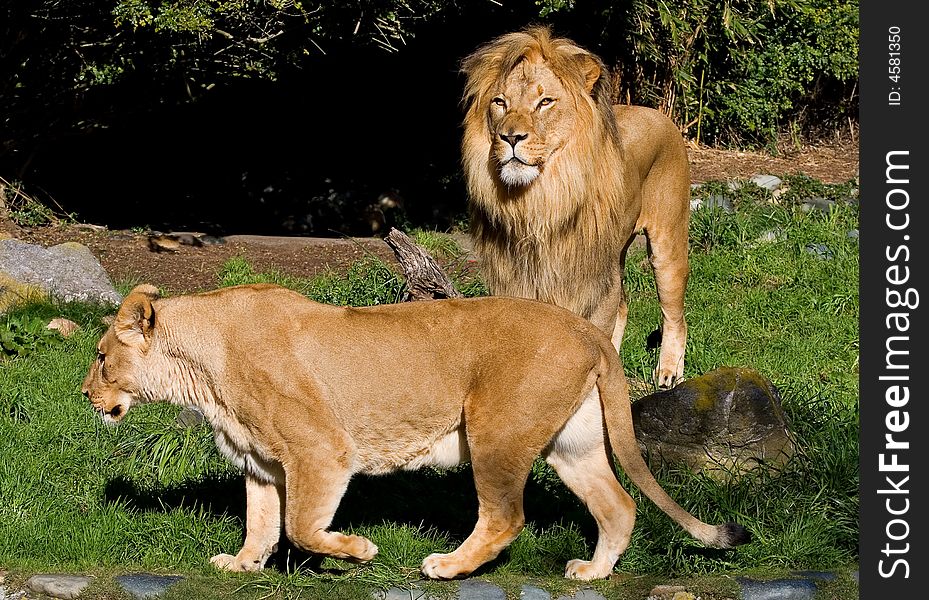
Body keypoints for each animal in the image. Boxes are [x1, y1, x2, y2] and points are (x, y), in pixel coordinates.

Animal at [81, 286, 748, 580]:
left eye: (101, 357)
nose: (85, 396)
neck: (200, 368)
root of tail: (586, 328)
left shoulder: (321, 450)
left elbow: (300, 526)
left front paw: (358, 551)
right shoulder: (262, 463)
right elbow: (262, 523)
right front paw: (242, 565)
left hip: (495, 431)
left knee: (505, 517)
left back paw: (448, 567)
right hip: (572, 443)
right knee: (618, 505)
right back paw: (592, 572)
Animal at [460, 25, 692, 386]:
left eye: (544, 102)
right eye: (500, 102)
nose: (510, 137)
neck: (539, 201)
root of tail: (656, 112)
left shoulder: (591, 280)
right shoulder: (517, 281)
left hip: (667, 243)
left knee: (674, 314)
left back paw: (668, 371)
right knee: (624, 307)